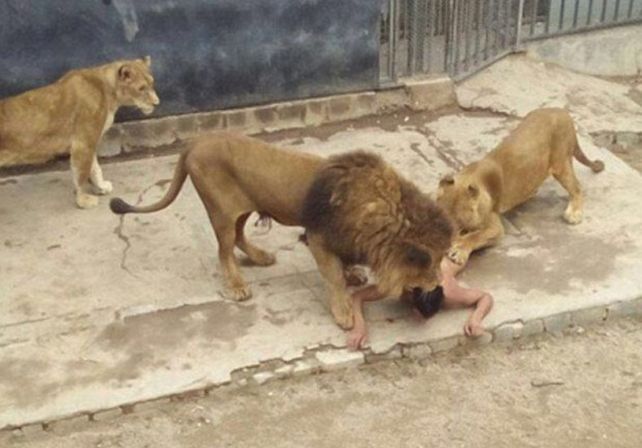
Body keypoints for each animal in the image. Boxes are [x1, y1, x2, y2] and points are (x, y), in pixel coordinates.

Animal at [0, 57, 159, 208]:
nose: (157, 103)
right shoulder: (83, 142)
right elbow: (82, 173)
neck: (109, 91)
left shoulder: (90, 140)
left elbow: (95, 168)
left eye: (152, 84)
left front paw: (101, 187)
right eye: (141, 88)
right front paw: (83, 200)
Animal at [109, 133, 387, 328]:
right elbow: (334, 274)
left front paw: (353, 273)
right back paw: (237, 285)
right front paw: (344, 311)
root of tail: (198, 141)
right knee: (224, 250)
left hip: (242, 208)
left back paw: (261, 257)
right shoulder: (318, 235)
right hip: (221, 210)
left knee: (238, 237)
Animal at [301, 151, 453, 328]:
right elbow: (334, 276)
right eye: (433, 263)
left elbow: (343, 264)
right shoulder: (318, 236)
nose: (440, 281)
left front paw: (353, 275)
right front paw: (343, 312)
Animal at [436, 107, 604, 266]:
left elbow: (475, 236)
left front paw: (459, 249)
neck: (467, 178)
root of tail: (563, 112)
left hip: (560, 163)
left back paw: (574, 213)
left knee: (577, 187)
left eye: (459, 221)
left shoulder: (495, 227)